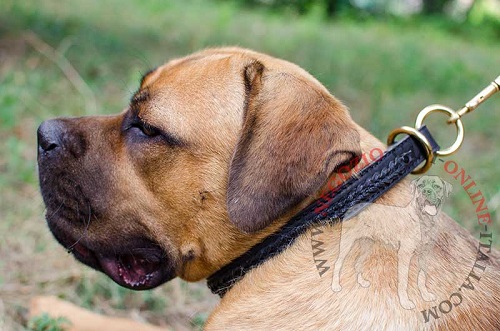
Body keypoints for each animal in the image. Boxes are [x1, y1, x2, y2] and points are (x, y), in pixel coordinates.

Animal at [332, 176, 454, 312]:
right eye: (421, 185)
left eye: (437, 187)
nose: (426, 192)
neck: (423, 221)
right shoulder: (405, 255)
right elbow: (403, 282)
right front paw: (405, 303)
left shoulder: (424, 254)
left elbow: (422, 277)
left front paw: (425, 295)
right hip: (346, 242)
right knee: (338, 263)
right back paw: (335, 286)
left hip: (367, 245)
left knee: (357, 263)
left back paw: (362, 282)